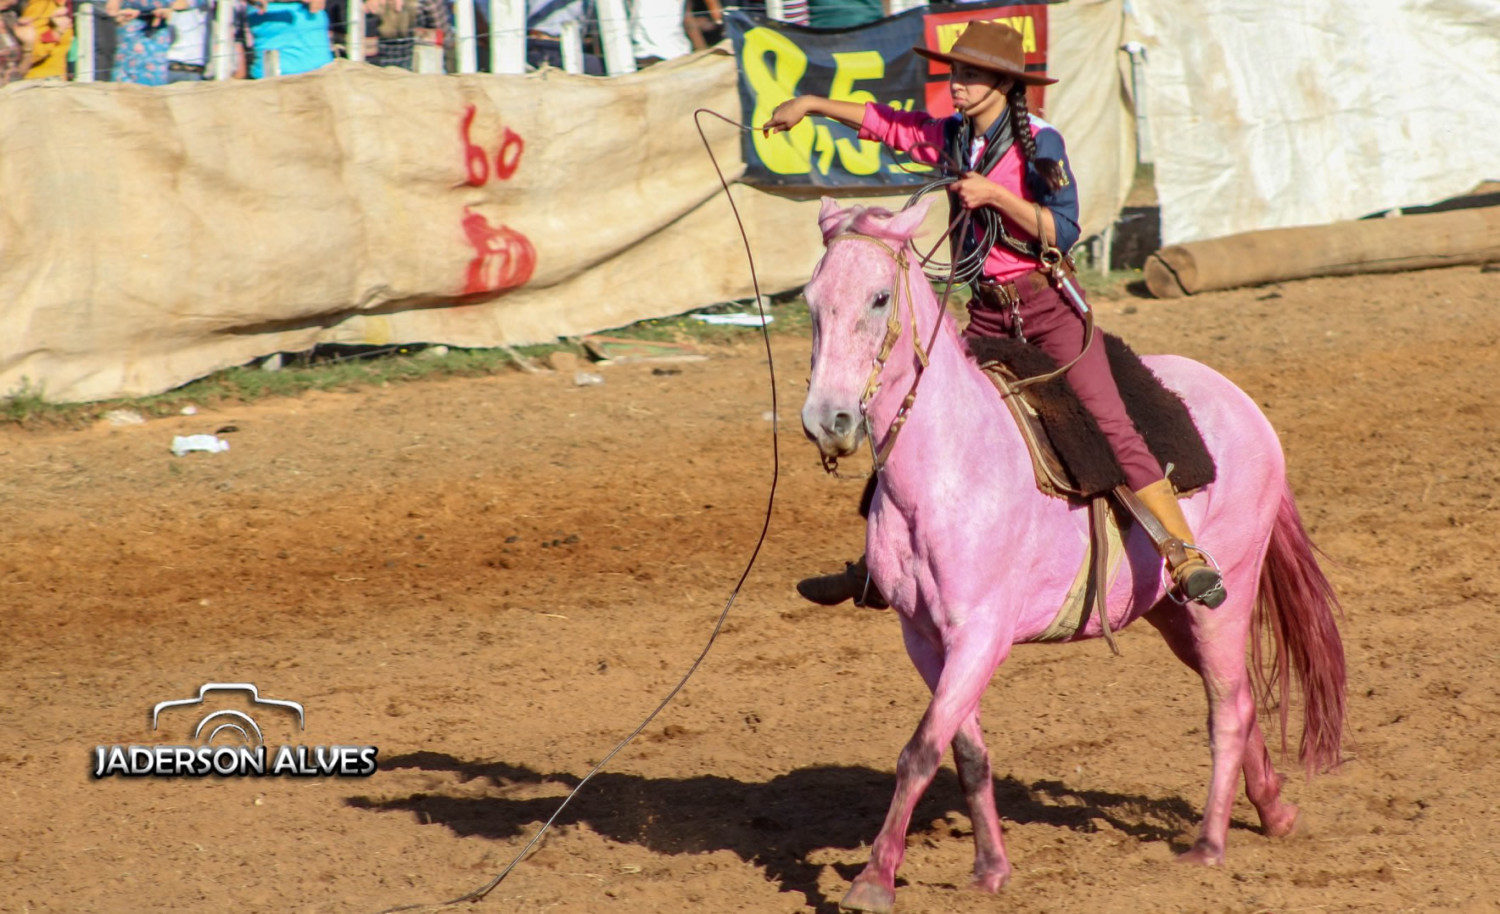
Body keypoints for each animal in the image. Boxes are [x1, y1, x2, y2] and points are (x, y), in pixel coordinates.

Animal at [804, 196, 1356, 906]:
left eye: (878, 298)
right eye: (812, 302)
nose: (828, 420)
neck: (950, 462)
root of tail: (1242, 404)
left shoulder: (980, 635)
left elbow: (920, 750)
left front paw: (874, 880)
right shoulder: (924, 638)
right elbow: (964, 751)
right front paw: (990, 868)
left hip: (1224, 594)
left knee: (1227, 706)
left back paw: (1209, 844)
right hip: (1168, 611)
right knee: (1235, 693)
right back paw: (1275, 810)